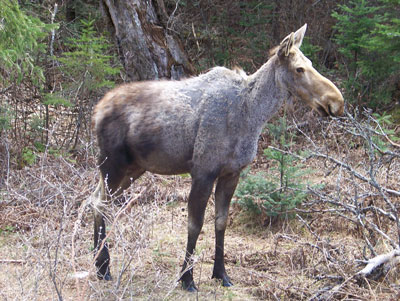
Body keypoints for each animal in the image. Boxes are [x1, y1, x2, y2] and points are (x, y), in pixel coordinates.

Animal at [90, 24, 344, 292]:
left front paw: (221, 273)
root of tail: (95, 111)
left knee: (95, 199)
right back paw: (103, 267)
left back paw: (98, 263)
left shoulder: (232, 173)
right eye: (299, 69)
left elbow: (221, 222)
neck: (251, 115)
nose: (336, 101)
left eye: (310, 63)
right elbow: (195, 225)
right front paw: (187, 278)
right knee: (100, 203)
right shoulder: (203, 171)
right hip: (112, 165)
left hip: (133, 168)